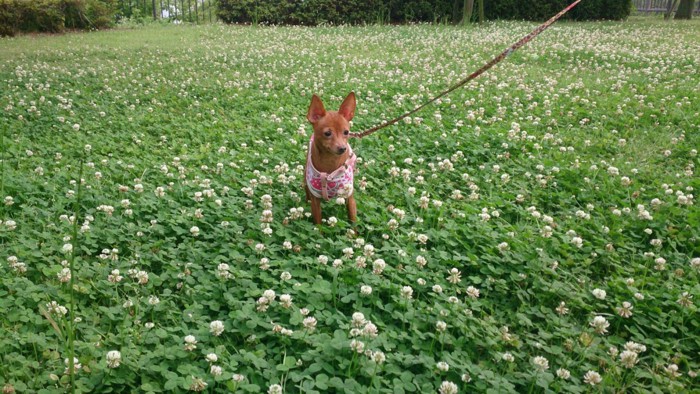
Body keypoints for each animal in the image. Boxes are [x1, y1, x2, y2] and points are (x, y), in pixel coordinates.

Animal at [304, 90, 358, 223]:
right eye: (327, 133)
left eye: (346, 132)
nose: (342, 148)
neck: (330, 163)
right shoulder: (315, 201)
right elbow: (318, 224)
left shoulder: (350, 199)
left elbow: (353, 221)